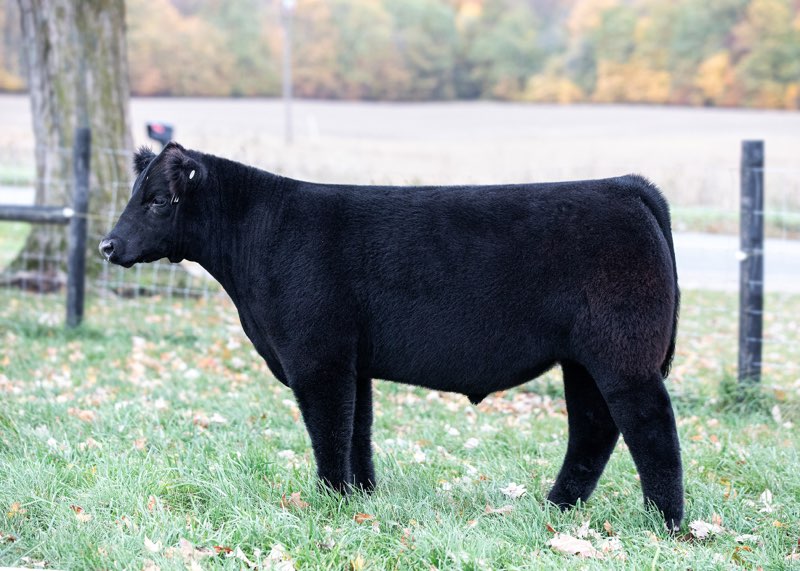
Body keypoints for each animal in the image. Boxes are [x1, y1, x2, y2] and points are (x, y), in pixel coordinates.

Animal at [100, 142, 683, 530]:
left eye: (158, 200)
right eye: (136, 193)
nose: (107, 245)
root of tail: (622, 185)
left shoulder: (317, 357)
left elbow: (329, 430)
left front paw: (329, 500)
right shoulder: (352, 362)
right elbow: (358, 429)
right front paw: (360, 497)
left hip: (624, 355)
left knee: (650, 426)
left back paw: (665, 523)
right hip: (582, 359)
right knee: (593, 426)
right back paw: (557, 508)